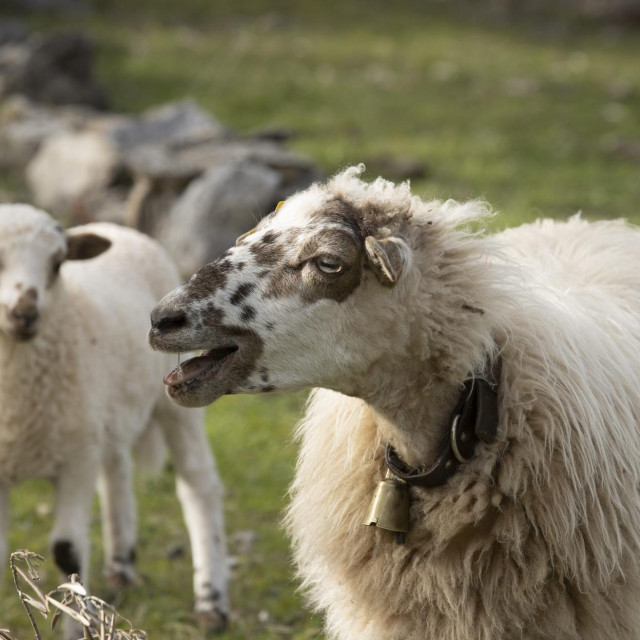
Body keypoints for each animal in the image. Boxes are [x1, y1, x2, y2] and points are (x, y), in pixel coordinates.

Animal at [0, 204, 229, 632]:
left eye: (57, 264)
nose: (24, 314)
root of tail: (116, 227)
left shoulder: (75, 457)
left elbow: (67, 553)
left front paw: (76, 628)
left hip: (176, 399)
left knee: (198, 484)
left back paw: (211, 602)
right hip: (106, 412)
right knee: (116, 472)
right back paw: (121, 567)